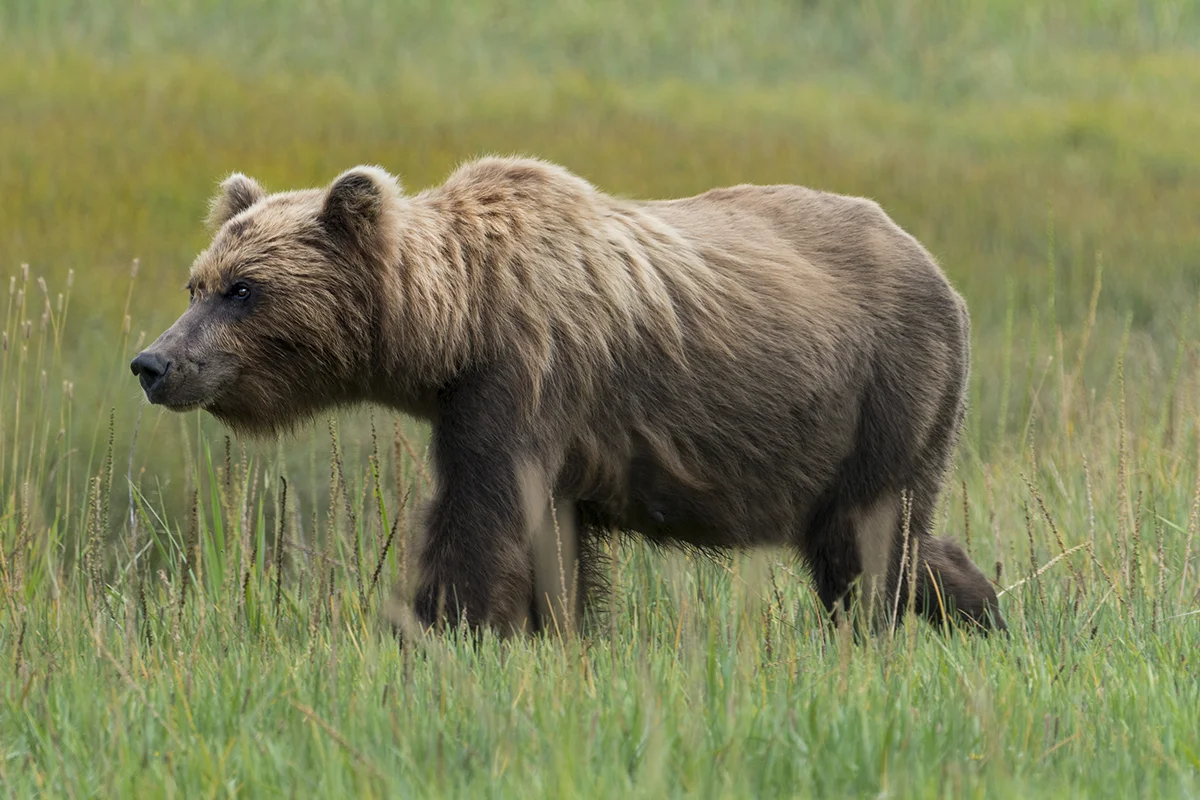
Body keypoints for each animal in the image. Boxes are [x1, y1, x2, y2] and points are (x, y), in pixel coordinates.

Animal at [131, 155, 1007, 639]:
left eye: (244, 290)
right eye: (196, 283)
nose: (153, 363)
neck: (455, 325)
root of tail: (939, 271)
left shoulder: (522, 381)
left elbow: (481, 524)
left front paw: (439, 629)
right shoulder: (509, 415)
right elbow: (555, 546)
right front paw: (554, 633)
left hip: (885, 386)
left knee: (865, 540)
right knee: (901, 539)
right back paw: (986, 613)